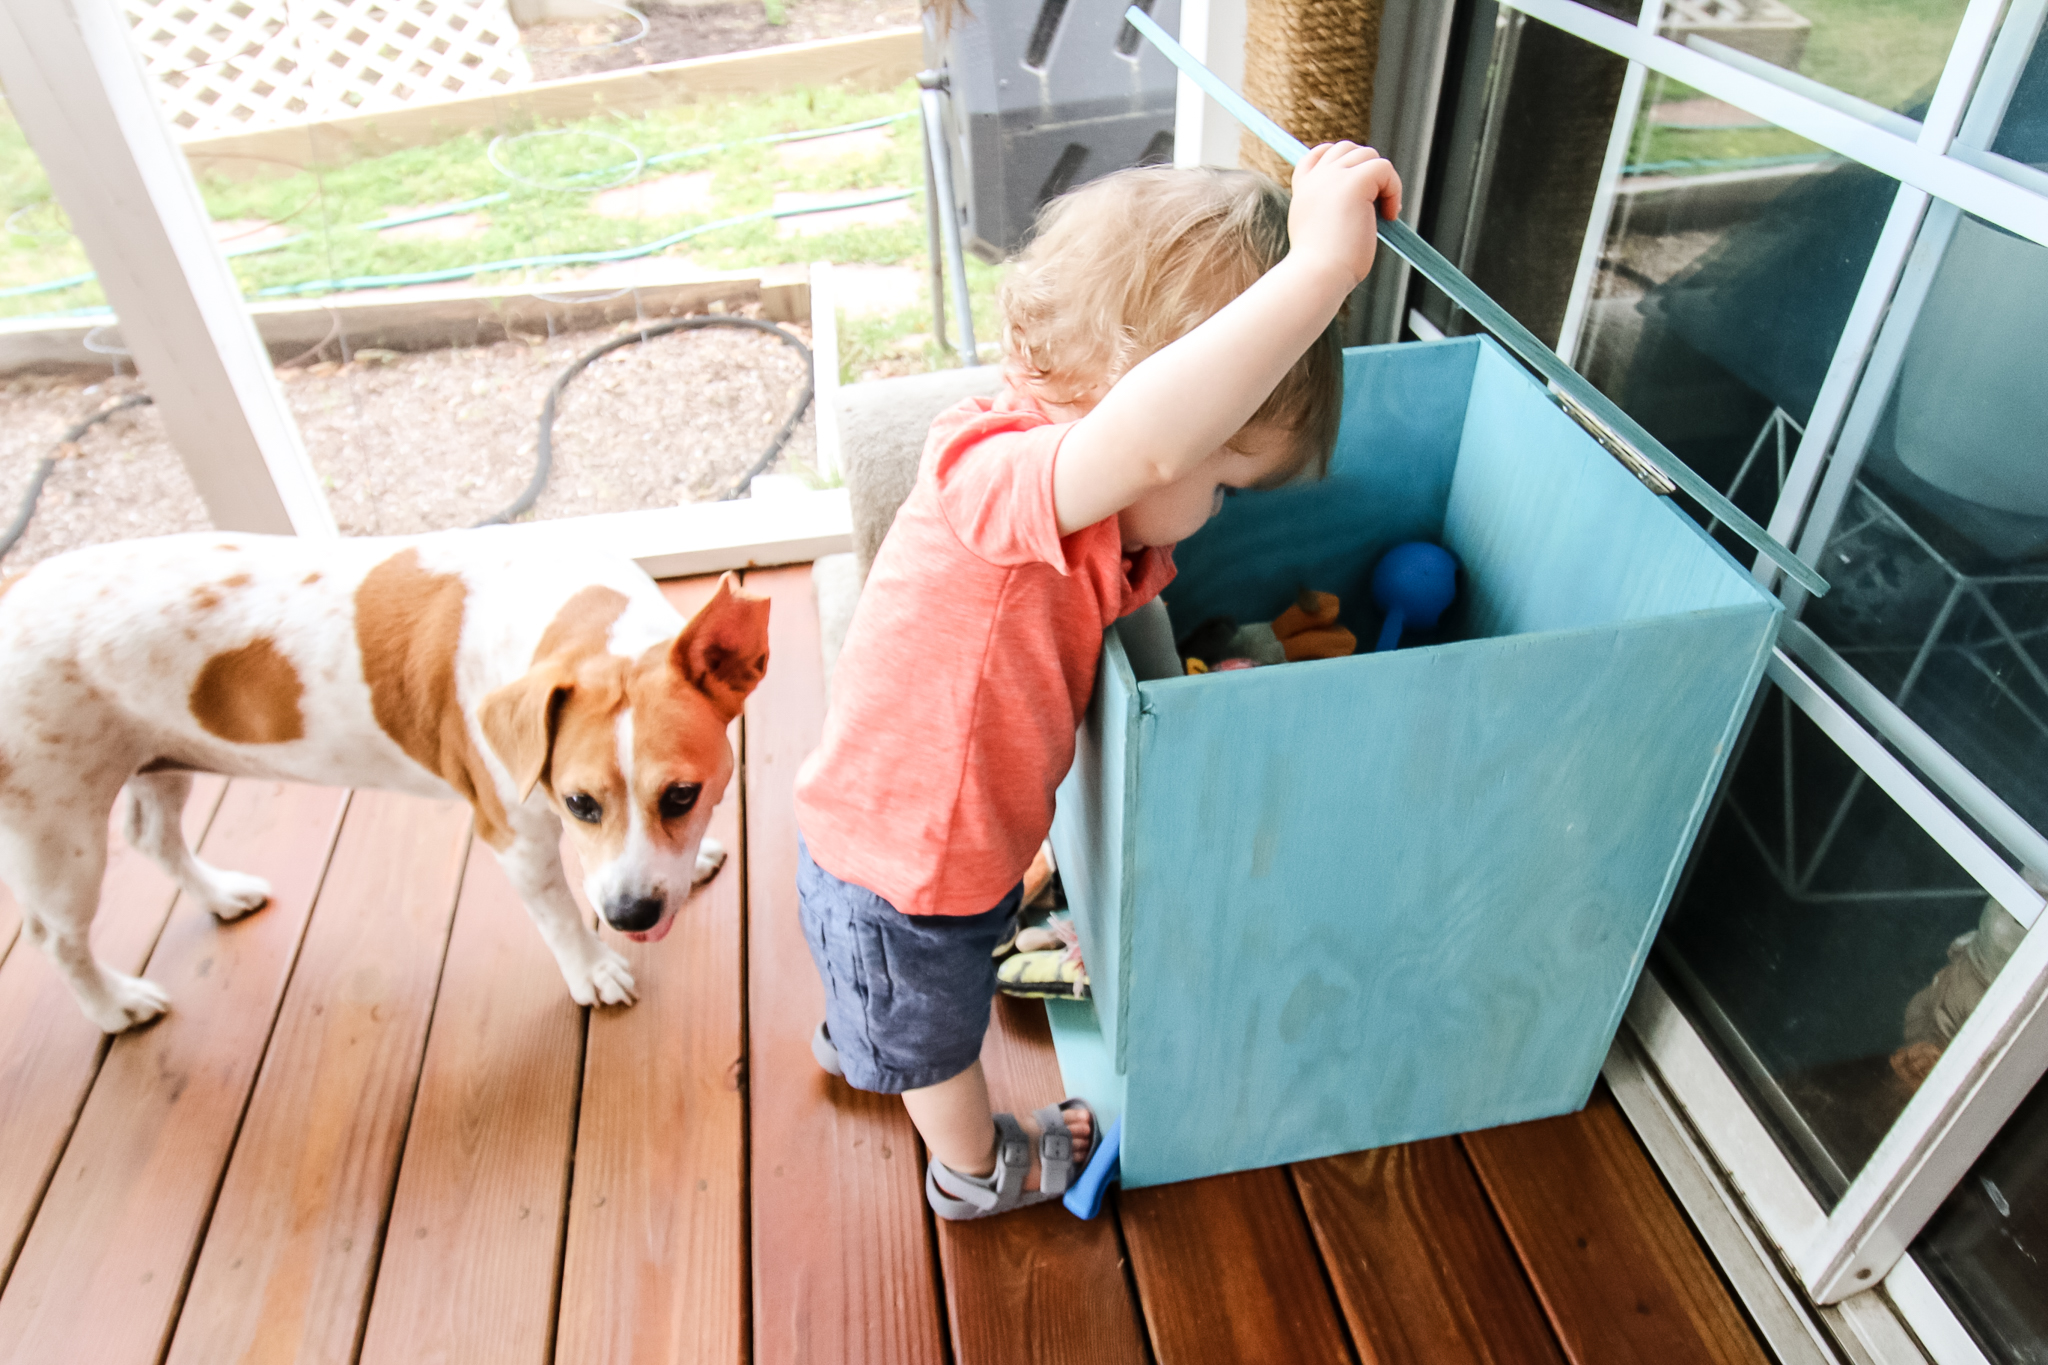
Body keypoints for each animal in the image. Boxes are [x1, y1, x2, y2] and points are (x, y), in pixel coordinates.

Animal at [0, 532, 770, 1035]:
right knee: (54, 935)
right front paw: (592, 970)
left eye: (682, 796)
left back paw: (220, 895)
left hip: (160, 763)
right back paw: (113, 1005)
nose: (630, 915)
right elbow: (554, 910)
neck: (574, 620)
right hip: (58, 836)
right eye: (578, 803)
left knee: (153, 836)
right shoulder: (513, 834)